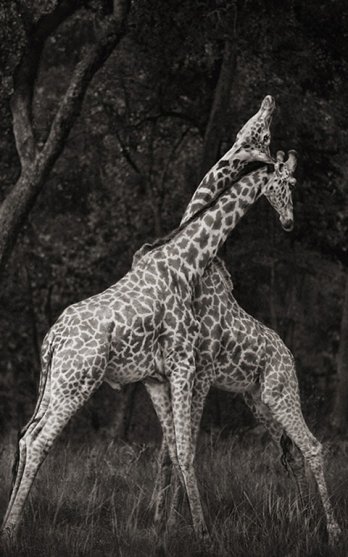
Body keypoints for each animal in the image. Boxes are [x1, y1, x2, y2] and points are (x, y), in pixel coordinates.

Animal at [1, 147, 294, 544]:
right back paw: (11, 531)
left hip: (55, 383)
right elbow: (184, 449)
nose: (289, 221)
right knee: (38, 443)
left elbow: (171, 448)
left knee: (25, 437)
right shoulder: (184, 363)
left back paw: (7, 523)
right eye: (290, 182)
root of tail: (53, 338)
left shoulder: (157, 376)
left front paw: (168, 527)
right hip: (77, 383)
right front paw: (202, 532)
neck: (187, 262)